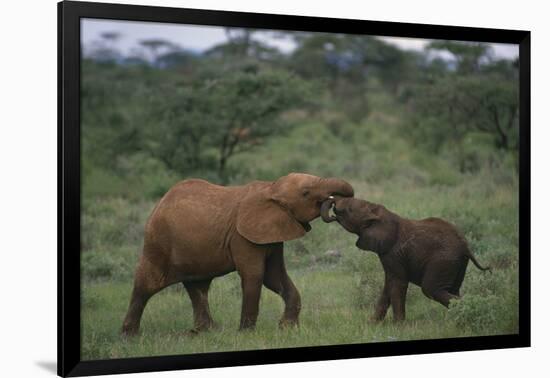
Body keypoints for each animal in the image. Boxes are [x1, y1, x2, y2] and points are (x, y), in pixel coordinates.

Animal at [121, 173, 356, 336]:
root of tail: (159, 204)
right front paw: (246, 334)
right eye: (306, 193)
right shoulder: (242, 237)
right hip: (158, 242)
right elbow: (255, 275)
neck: (271, 187)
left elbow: (274, 277)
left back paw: (206, 331)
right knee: (146, 284)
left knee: (197, 286)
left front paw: (287, 329)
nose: (333, 206)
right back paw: (129, 337)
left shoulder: (272, 234)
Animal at [322, 195, 490, 322]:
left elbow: (397, 282)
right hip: (458, 263)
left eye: (349, 210)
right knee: (453, 290)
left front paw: (398, 326)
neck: (379, 213)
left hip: (443, 260)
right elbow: (388, 284)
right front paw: (372, 324)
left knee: (431, 289)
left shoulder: (394, 252)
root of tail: (465, 246)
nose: (332, 203)